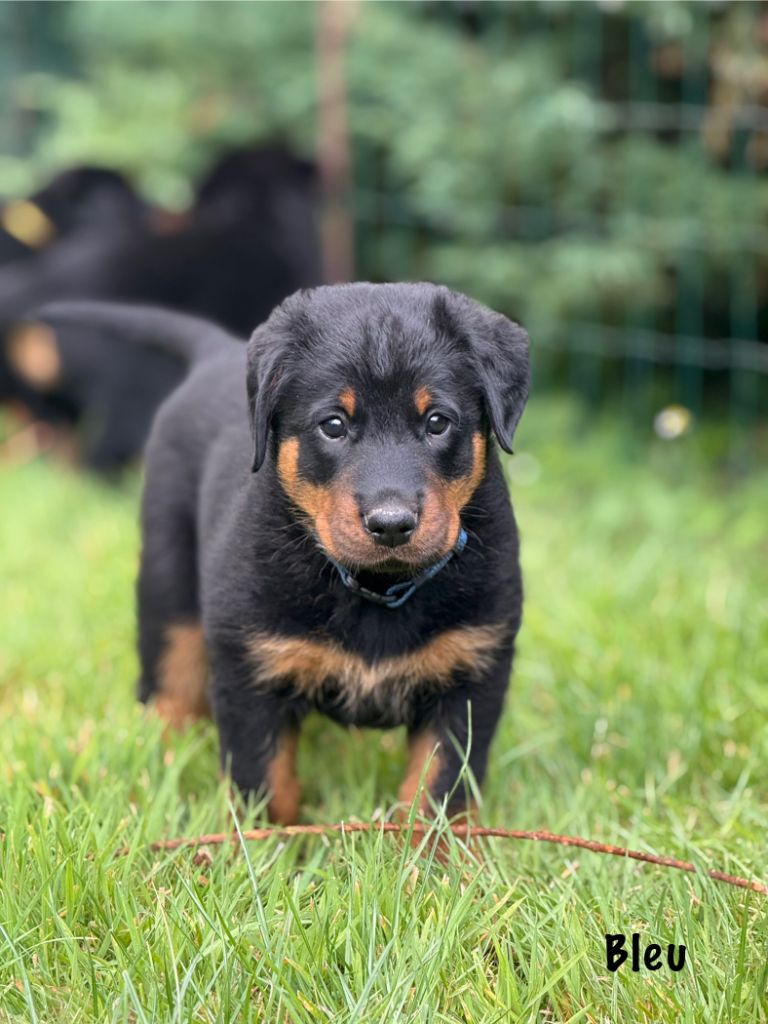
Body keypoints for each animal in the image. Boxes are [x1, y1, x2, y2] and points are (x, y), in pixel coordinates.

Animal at [41, 283, 529, 822]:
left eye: (438, 422)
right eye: (333, 425)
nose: (391, 523)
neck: (376, 587)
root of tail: (217, 352)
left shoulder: (472, 671)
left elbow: (440, 786)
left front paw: (434, 846)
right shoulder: (250, 667)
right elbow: (263, 778)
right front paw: (265, 841)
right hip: (166, 577)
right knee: (170, 678)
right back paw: (163, 758)